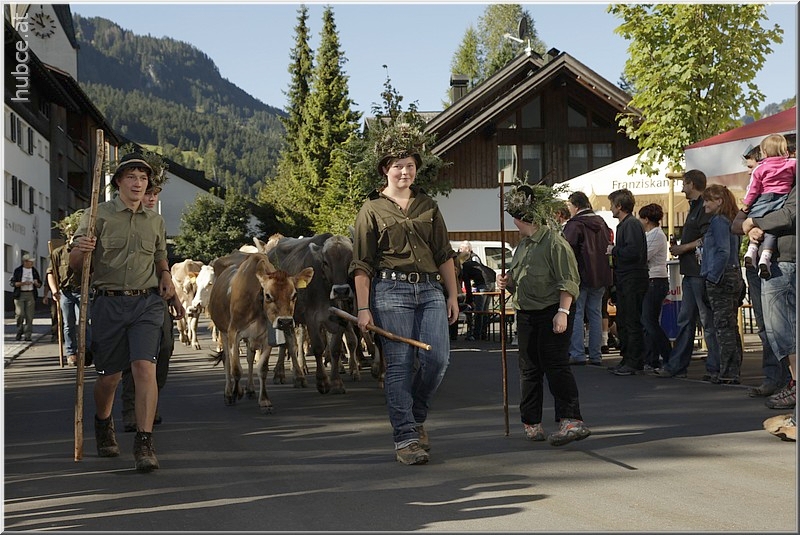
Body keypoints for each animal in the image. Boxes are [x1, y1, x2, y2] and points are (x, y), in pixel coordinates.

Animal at [207, 252, 313, 412]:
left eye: (294, 295)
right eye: (268, 295)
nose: (285, 322)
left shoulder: (266, 338)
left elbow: (262, 369)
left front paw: (264, 400)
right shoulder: (234, 333)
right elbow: (236, 369)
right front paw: (236, 392)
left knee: (250, 358)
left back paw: (250, 389)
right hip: (223, 331)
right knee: (227, 360)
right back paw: (229, 393)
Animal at [268, 233, 355, 394]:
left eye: (351, 260)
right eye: (325, 262)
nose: (341, 290)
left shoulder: (341, 318)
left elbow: (335, 348)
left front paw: (337, 382)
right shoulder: (311, 318)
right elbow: (318, 347)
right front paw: (322, 382)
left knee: (287, 344)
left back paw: (286, 374)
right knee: (290, 344)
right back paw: (294, 376)